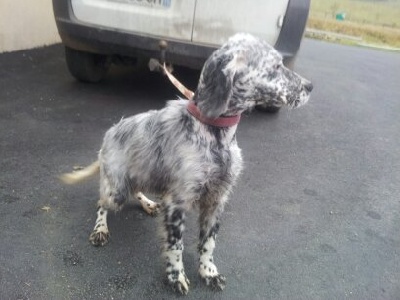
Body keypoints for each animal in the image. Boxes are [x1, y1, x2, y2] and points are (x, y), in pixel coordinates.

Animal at [61, 33, 312, 296]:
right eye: (276, 67)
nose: (310, 86)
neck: (214, 134)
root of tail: (110, 133)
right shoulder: (177, 203)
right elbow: (176, 247)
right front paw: (176, 277)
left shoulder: (216, 200)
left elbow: (208, 243)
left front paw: (208, 272)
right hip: (116, 190)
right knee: (101, 204)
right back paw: (100, 229)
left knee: (135, 190)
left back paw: (148, 204)